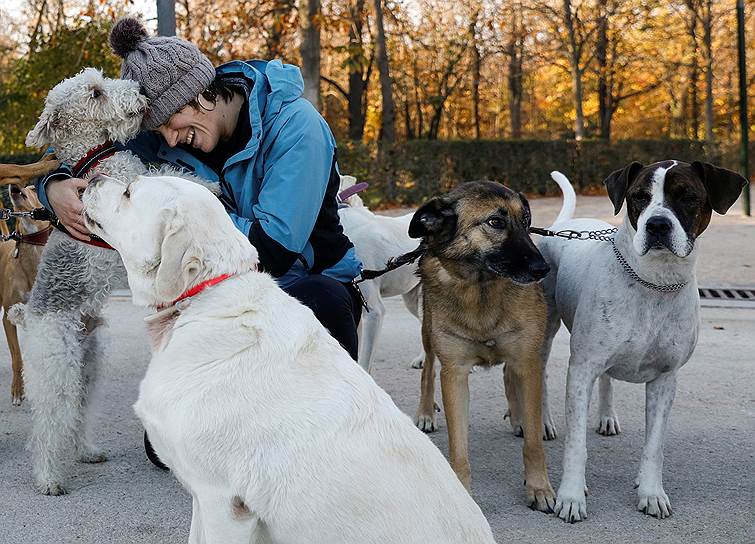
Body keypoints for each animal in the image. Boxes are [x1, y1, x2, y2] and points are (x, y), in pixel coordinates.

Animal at [15, 67, 216, 492]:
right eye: (95, 92)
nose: (138, 91)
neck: (94, 157)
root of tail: (29, 314)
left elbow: (163, 174)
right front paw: (206, 187)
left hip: (89, 366)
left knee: (77, 414)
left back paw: (86, 452)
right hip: (58, 368)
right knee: (47, 426)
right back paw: (48, 478)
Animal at [410, 181, 560, 512]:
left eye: (526, 220)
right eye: (495, 222)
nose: (543, 269)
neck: (481, 288)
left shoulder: (527, 361)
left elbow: (533, 442)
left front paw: (539, 488)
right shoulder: (454, 374)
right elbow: (458, 448)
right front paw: (462, 493)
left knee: (508, 377)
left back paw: (517, 416)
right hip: (428, 334)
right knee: (427, 367)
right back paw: (426, 412)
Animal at [540, 160, 748, 524]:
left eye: (687, 196)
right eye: (640, 196)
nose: (657, 224)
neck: (654, 284)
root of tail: (564, 226)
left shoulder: (665, 379)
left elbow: (654, 446)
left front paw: (651, 492)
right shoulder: (581, 371)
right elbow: (576, 446)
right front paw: (570, 496)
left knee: (607, 380)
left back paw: (607, 417)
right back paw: (542, 423)